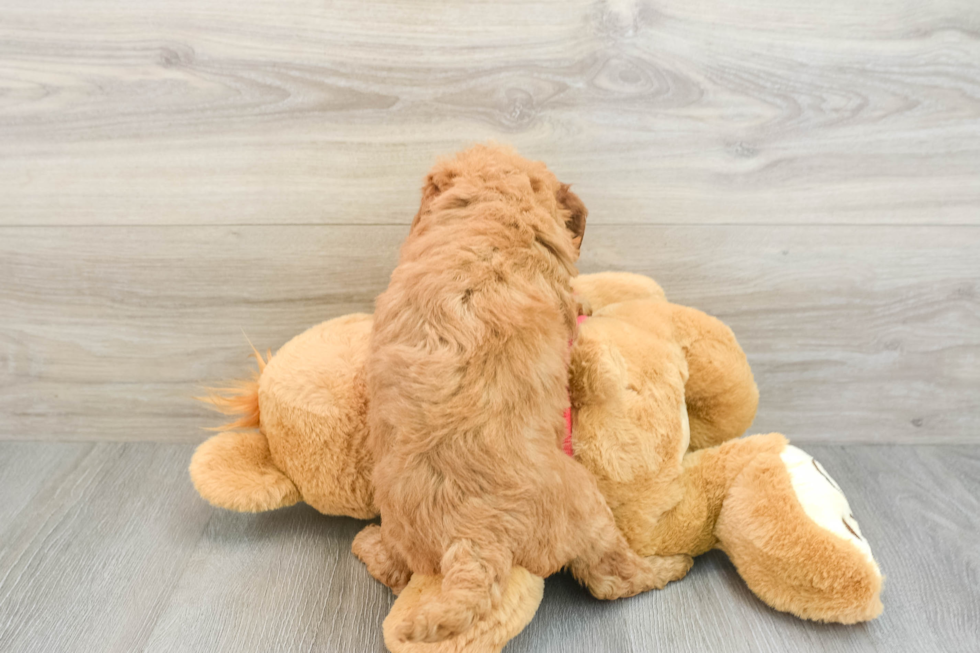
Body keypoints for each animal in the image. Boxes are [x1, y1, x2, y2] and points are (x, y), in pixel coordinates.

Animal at [354, 144, 688, 640]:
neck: (490, 208)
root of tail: (471, 543)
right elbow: (573, 306)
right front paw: (587, 304)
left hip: (409, 538)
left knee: (396, 569)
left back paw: (368, 543)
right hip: (586, 505)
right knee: (612, 579)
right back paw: (673, 565)